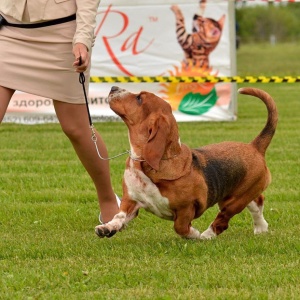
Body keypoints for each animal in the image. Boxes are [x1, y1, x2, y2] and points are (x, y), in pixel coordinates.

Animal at [95, 86, 278, 239]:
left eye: (139, 98)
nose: (113, 87)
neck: (143, 164)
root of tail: (254, 146)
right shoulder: (130, 201)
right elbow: (119, 216)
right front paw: (107, 228)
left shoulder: (187, 208)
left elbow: (180, 227)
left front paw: (193, 234)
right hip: (240, 194)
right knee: (257, 203)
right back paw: (261, 228)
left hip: (233, 201)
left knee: (223, 219)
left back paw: (207, 235)